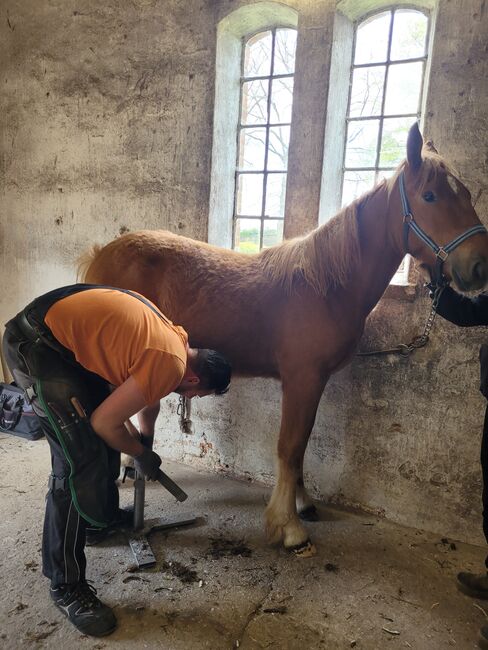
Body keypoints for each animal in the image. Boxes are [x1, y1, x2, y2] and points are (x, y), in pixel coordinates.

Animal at [78, 124, 486, 556]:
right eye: (430, 195)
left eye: (466, 194)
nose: (479, 265)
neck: (326, 287)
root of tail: (100, 254)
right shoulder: (302, 379)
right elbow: (290, 447)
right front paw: (288, 527)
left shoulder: (314, 382)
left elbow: (301, 445)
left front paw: (303, 504)